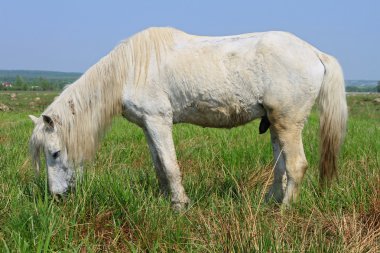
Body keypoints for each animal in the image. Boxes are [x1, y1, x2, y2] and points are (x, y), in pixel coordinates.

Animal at [29, 27, 348, 210]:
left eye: (54, 153)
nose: (56, 197)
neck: (129, 70)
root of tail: (315, 53)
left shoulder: (159, 121)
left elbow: (171, 167)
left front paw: (180, 206)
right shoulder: (148, 126)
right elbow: (159, 167)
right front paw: (165, 202)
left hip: (288, 122)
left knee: (296, 166)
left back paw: (283, 213)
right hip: (275, 124)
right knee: (280, 166)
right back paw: (268, 205)